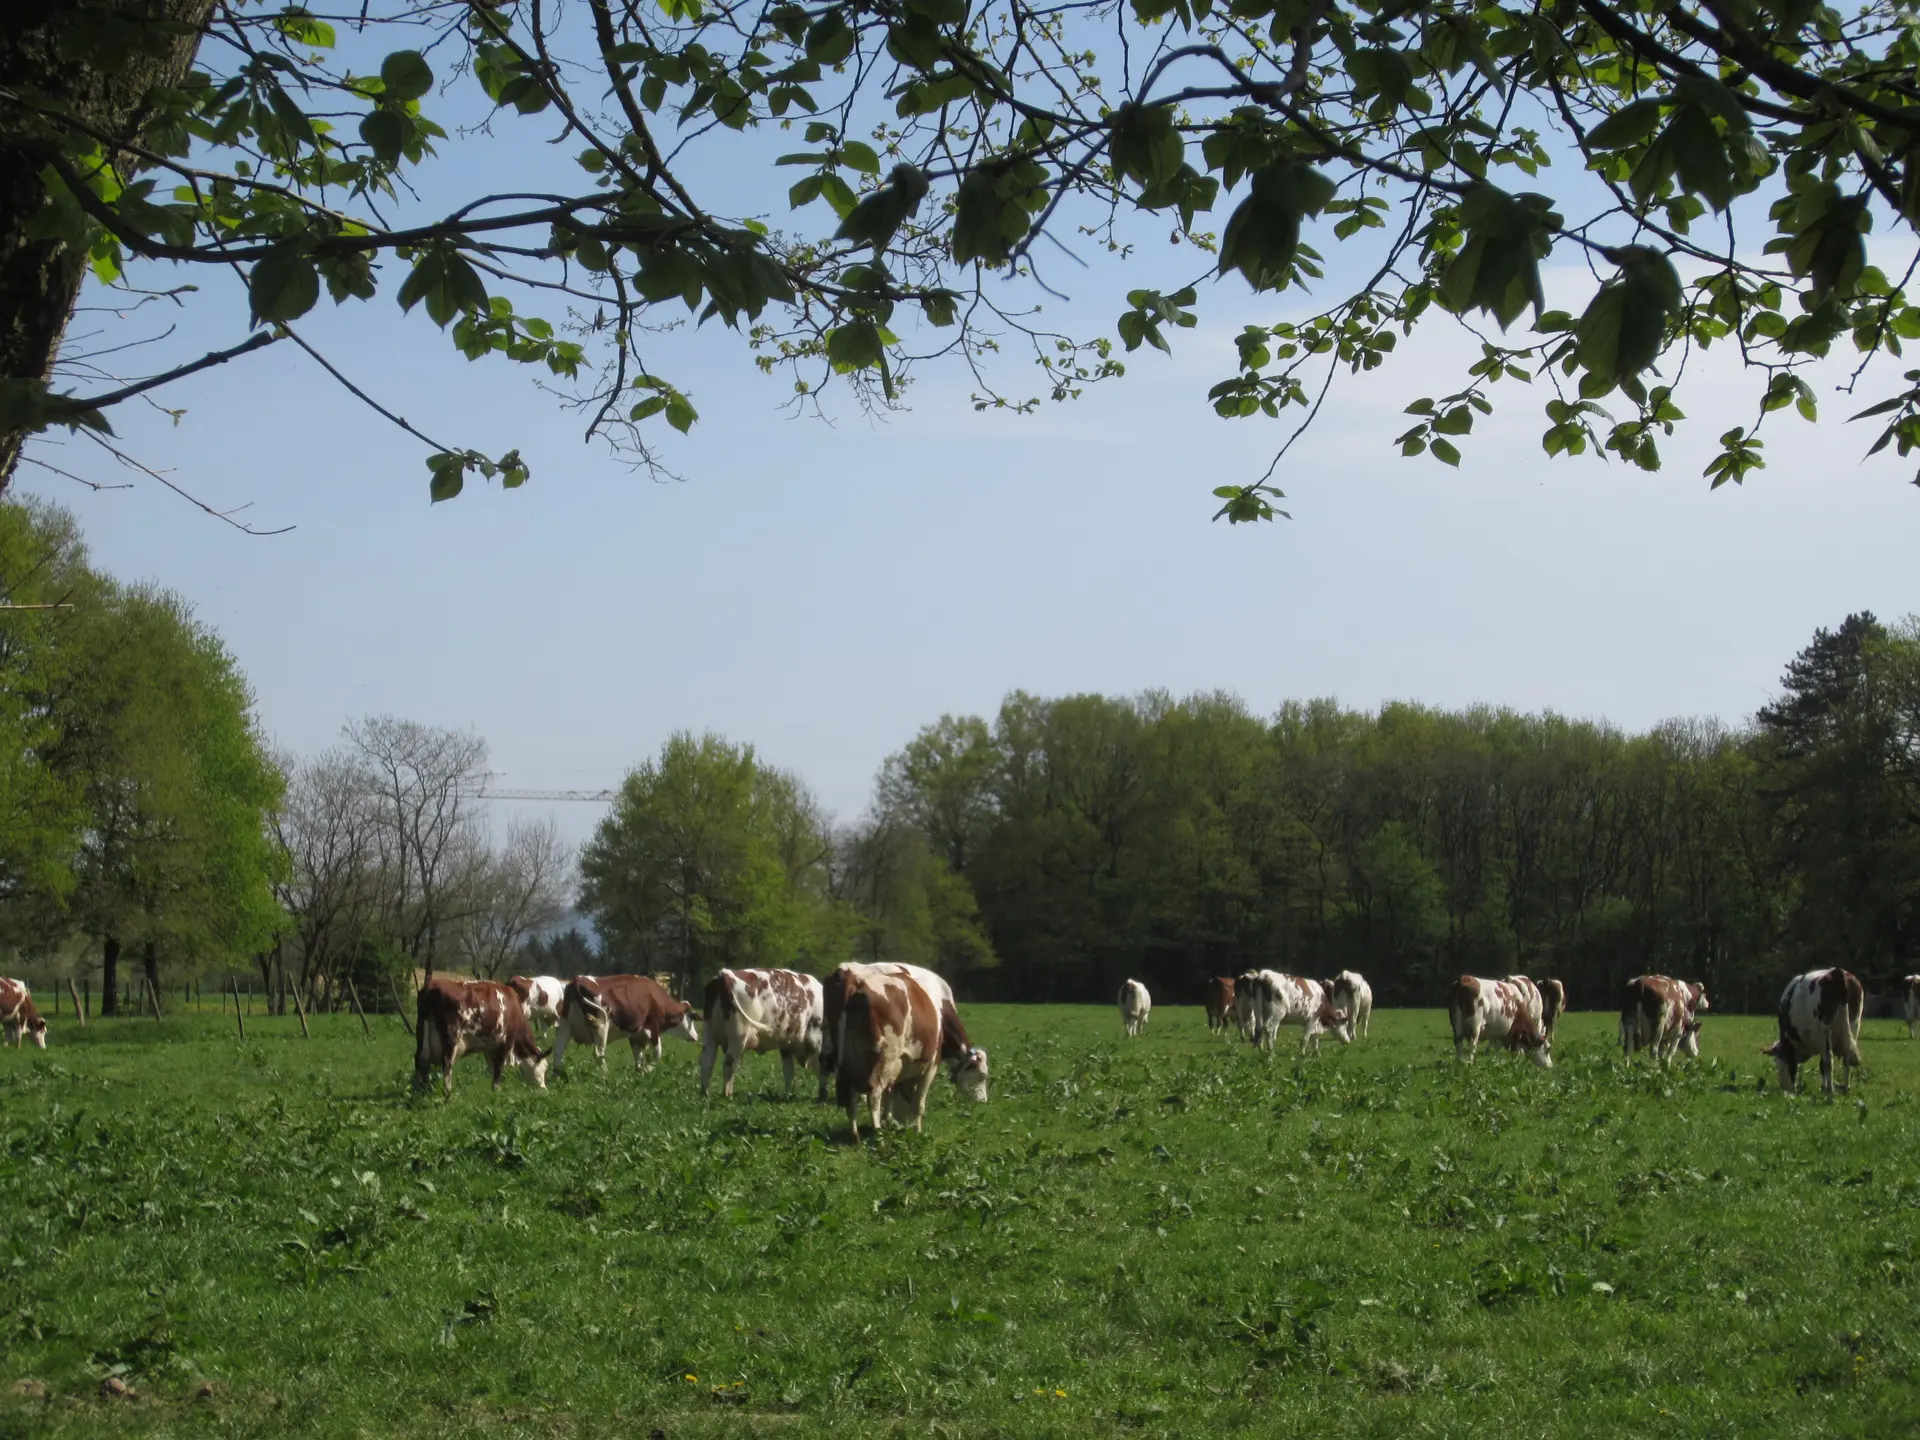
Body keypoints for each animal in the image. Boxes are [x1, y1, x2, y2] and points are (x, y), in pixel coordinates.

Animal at [413, 976, 549, 1096]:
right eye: (543, 1067)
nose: (543, 1088)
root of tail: (431, 985)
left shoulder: (489, 1046)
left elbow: (492, 1068)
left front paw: (493, 1091)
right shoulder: (505, 1041)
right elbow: (498, 1068)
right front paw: (496, 1091)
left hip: (421, 1032)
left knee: (420, 1060)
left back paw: (419, 1091)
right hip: (451, 1035)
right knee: (447, 1063)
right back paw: (448, 1093)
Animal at [553, 973, 698, 1073]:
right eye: (691, 1018)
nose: (696, 1036)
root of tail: (577, 980)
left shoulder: (636, 1034)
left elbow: (638, 1056)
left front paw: (640, 1073)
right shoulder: (653, 1028)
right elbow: (658, 1053)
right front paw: (648, 1069)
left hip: (565, 1025)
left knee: (558, 1051)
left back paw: (557, 1075)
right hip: (601, 1025)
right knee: (599, 1053)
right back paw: (605, 1075)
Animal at [700, 967, 827, 1099]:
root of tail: (725, 974)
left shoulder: (786, 1045)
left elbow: (789, 1072)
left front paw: (787, 1095)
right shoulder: (816, 1040)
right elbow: (821, 1068)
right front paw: (822, 1096)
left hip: (710, 1032)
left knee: (707, 1060)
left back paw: (705, 1093)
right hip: (738, 1035)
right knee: (729, 1063)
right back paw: (727, 1094)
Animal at [829, 963, 989, 1139]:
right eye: (983, 1075)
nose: (983, 1101)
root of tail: (851, 974)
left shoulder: (903, 1065)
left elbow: (895, 1093)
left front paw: (892, 1120)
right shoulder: (930, 1065)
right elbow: (918, 1103)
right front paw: (916, 1130)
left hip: (844, 1060)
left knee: (850, 1093)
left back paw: (855, 1134)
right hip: (884, 1059)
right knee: (874, 1094)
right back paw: (877, 1133)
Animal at [1764, 968, 1864, 1097]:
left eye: (1776, 1062)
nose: (1783, 1087)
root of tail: (1836, 972)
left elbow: (1796, 1065)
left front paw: (1795, 1089)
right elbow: (1821, 1066)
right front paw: (1823, 1087)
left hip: (1824, 1031)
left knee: (1829, 1061)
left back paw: (1831, 1091)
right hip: (1853, 1025)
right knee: (1847, 1060)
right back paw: (1845, 1089)